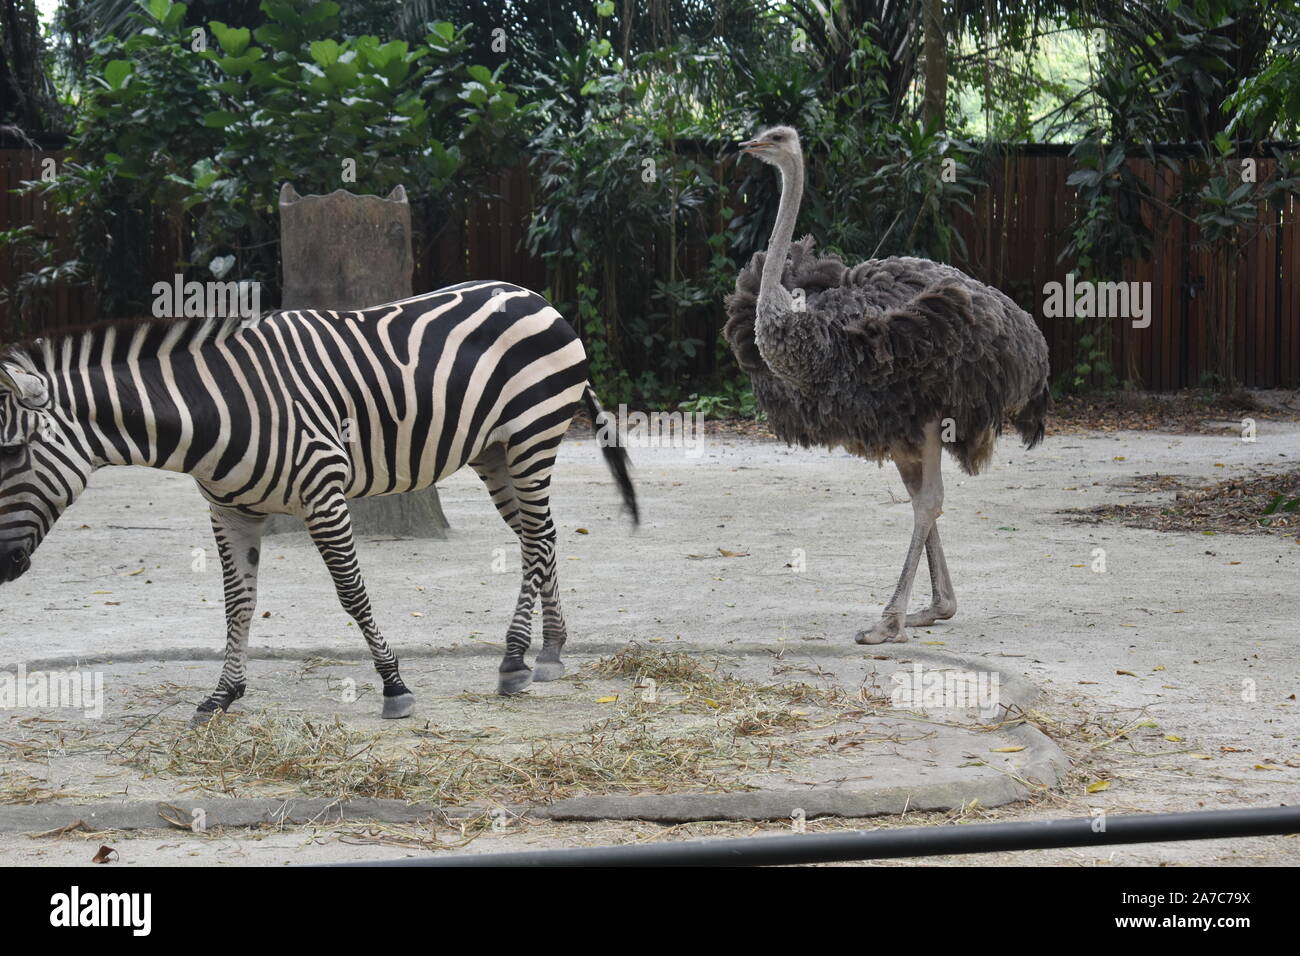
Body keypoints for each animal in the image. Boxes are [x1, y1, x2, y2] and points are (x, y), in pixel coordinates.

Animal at [0, 280, 639, 723]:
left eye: (10, 453)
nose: (2, 569)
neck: (216, 411)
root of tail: (536, 297)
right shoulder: (229, 511)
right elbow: (237, 603)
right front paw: (222, 695)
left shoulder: (322, 491)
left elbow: (351, 593)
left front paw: (394, 686)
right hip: (496, 452)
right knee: (541, 536)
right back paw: (547, 652)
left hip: (532, 437)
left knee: (535, 540)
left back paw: (512, 660)